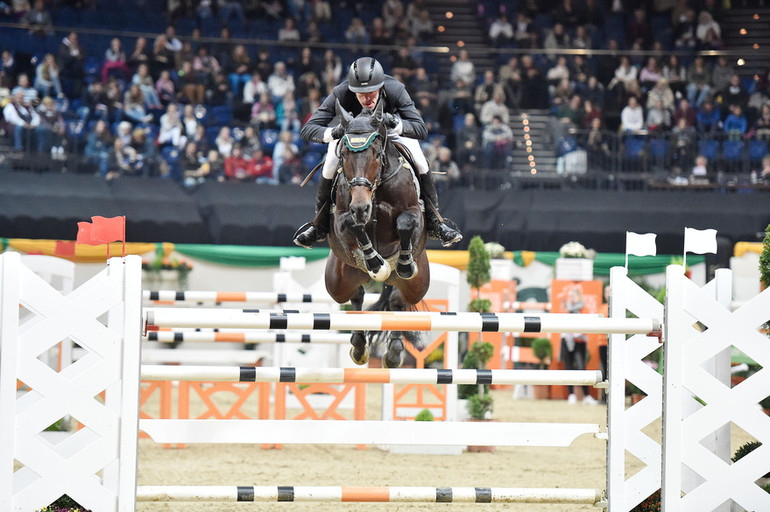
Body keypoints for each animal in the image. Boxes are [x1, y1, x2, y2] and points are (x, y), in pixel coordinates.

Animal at [322, 98, 428, 366]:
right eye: (344, 154)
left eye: (377, 154)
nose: (361, 207)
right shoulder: (341, 218)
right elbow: (352, 224)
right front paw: (375, 262)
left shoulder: (414, 213)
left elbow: (405, 223)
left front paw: (403, 263)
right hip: (337, 283)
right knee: (356, 296)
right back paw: (359, 346)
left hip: (417, 286)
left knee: (398, 301)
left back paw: (394, 352)